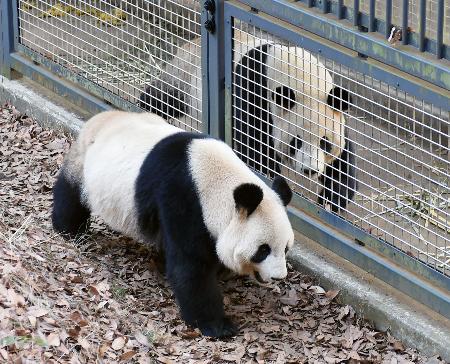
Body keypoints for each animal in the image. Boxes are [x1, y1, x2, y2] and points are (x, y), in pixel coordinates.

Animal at [51, 110, 296, 338]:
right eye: (263, 250)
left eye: (285, 248)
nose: (279, 276)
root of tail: (100, 117)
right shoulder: (184, 200)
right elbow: (190, 267)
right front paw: (217, 325)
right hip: (83, 162)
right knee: (71, 195)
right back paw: (69, 230)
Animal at [139, 31, 356, 213]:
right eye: (296, 141)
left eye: (325, 143)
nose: (310, 170)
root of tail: (192, 42)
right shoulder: (253, 88)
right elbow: (253, 143)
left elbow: (344, 158)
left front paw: (331, 200)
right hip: (183, 76)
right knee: (161, 98)